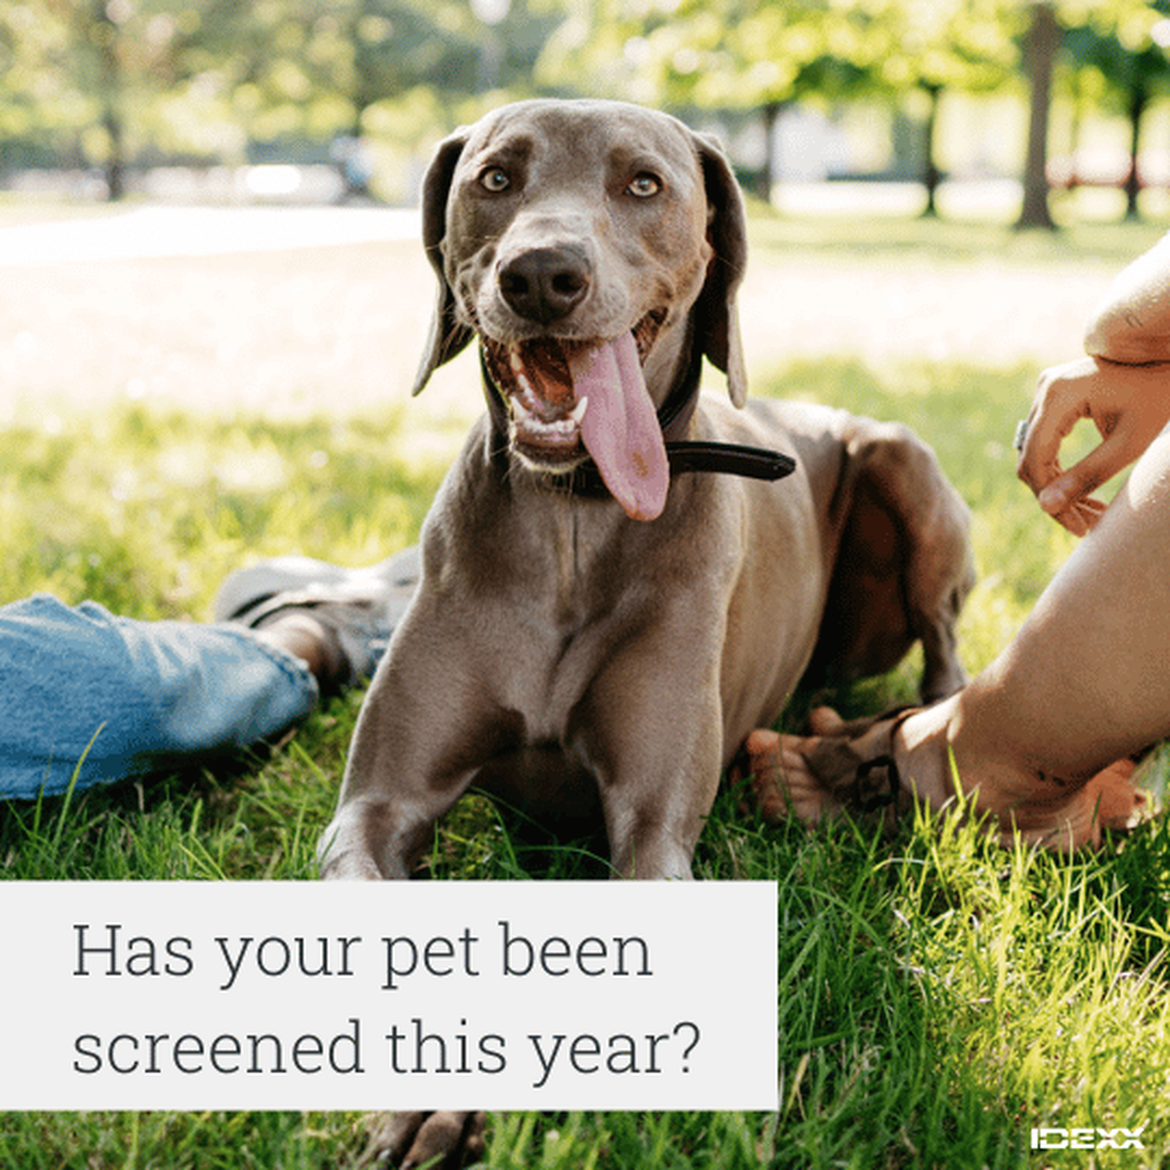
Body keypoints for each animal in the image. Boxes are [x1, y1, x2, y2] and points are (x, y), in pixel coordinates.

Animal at [322, 100, 978, 1170]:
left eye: (643, 184)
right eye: (496, 178)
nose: (543, 276)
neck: (573, 518)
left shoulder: (654, 827)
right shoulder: (374, 810)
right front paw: (423, 1100)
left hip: (904, 465)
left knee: (943, 638)